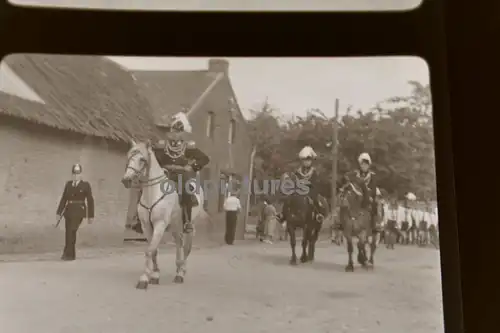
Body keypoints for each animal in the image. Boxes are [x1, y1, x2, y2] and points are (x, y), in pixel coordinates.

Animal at [120, 139, 204, 288]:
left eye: (142, 159)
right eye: (129, 157)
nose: (126, 180)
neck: (153, 193)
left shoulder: (160, 225)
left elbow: (149, 250)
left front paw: (143, 279)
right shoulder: (147, 226)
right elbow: (153, 250)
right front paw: (154, 275)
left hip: (190, 226)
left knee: (186, 248)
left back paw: (181, 273)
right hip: (176, 227)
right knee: (179, 244)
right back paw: (178, 268)